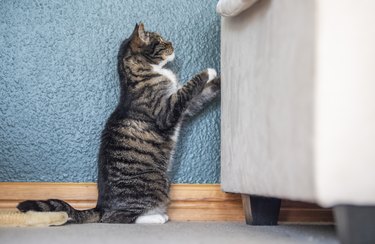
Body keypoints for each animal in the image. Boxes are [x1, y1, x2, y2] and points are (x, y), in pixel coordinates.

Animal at [17, 23, 222, 225]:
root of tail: (100, 206)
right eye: (161, 40)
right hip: (157, 182)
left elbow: (202, 94)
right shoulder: (167, 111)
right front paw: (209, 71)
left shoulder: (185, 110)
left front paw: (219, 79)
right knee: (118, 218)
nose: (172, 43)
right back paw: (157, 217)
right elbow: (189, 87)